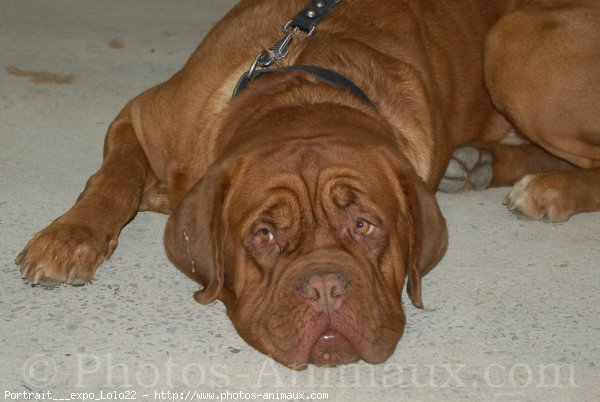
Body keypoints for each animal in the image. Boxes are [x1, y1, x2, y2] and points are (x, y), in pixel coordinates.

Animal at [16, 0, 596, 370]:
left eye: (365, 226)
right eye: (264, 235)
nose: (325, 288)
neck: (307, 85)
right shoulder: (136, 118)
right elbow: (112, 180)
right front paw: (69, 239)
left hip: (514, 40)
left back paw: (548, 189)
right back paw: (477, 161)